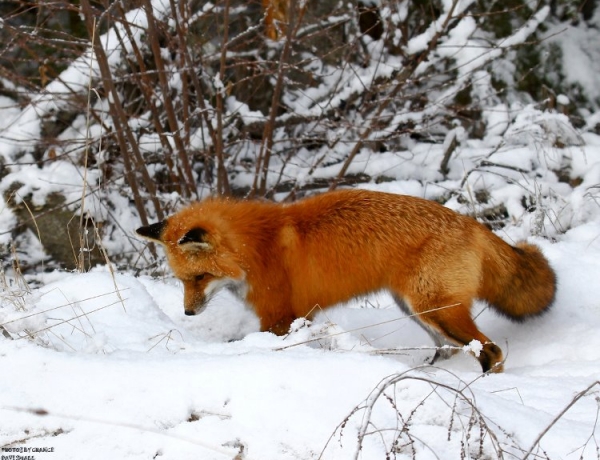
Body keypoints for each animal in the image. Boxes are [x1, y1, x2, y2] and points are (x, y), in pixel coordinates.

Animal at [135, 189, 552, 372]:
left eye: (200, 277)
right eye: (182, 280)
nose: (188, 314)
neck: (257, 249)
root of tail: (471, 222)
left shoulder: (279, 317)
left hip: (434, 308)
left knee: (491, 351)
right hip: (416, 309)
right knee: (448, 350)